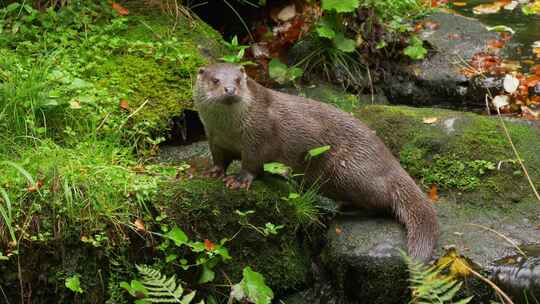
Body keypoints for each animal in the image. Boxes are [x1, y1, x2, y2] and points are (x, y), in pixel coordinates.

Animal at [194, 62, 438, 262]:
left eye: (238, 80)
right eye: (215, 80)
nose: (230, 90)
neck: (230, 130)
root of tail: (390, 162)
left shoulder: (258, 137)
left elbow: (252, 163)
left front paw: (239, 180)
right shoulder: (215, 139)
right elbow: (219, 160)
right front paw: (212, 172)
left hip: (350, 171)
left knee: (382, 201)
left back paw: (349, 211)